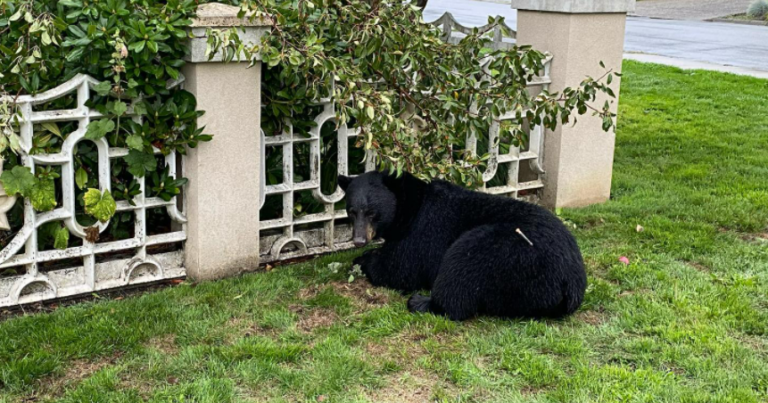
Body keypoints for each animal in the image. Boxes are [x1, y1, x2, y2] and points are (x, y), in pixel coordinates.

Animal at [337, 171, 587, 321]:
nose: (359, 240)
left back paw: (421, 302)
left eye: (372, 212)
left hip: (508, 253)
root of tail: (569, 285)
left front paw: (364, 259)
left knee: (462, 269)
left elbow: (401, 268)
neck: (411, 207)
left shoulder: (424, 231)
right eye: (352, 211)